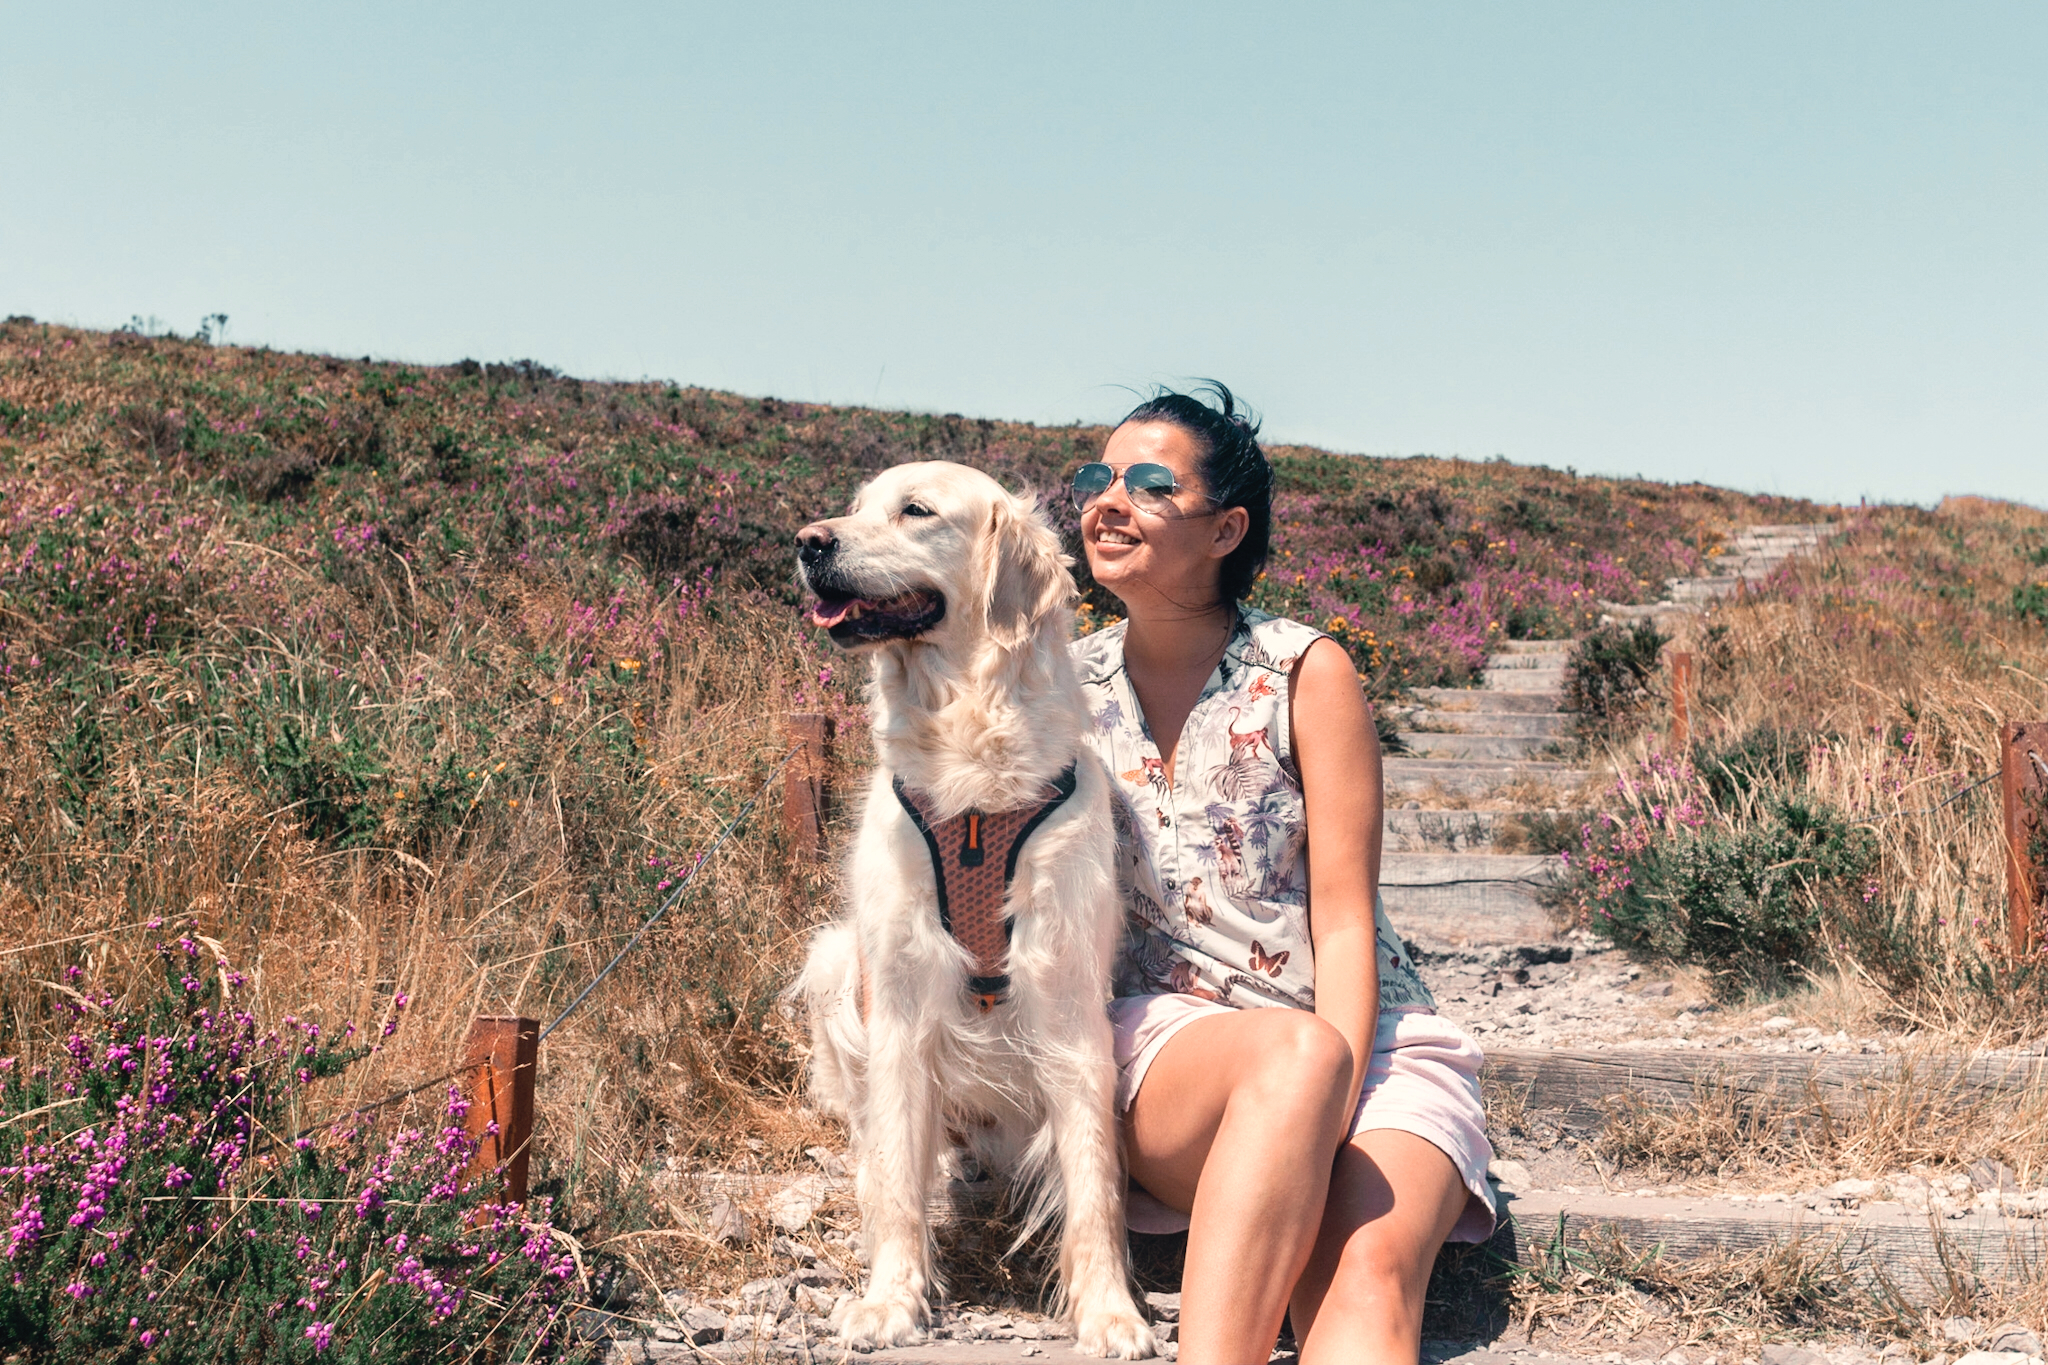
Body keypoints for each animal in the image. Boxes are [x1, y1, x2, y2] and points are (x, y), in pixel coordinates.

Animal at [794, 458, 1163, 1358]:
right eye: (855, 507)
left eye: (916, 511)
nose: (808, 543)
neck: (971, 778)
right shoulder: (896, 995)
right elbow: (897, 1171)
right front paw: (891, 1299)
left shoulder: (1068, 1000)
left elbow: (1094, 1181)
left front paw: (1111, 1311)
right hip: (833, 959)